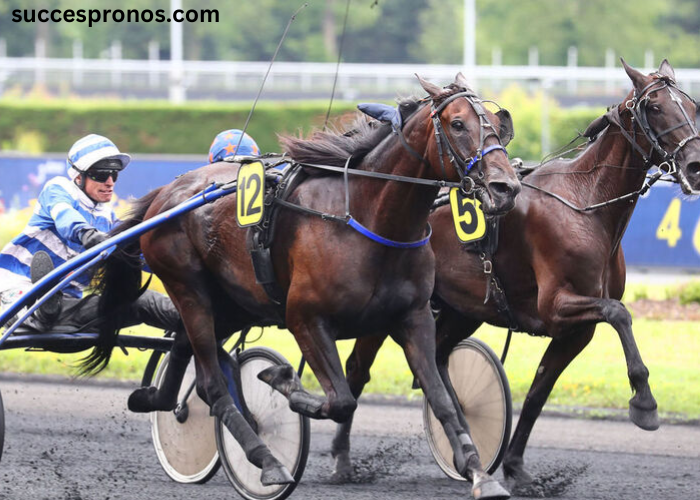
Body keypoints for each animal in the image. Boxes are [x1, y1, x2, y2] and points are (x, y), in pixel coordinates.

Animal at [89, 75, 520, 500]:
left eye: (499, 126)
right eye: (458, 124)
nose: (506, 187)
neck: (367, 218)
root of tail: (165, 194)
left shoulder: (413, 318)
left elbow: (442, 398)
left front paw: (480, 473)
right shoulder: (305, 317)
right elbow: (341, 400)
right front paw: (282, 380)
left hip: (233, 302)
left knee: (184, 347)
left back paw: (153, 398)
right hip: (188, 287)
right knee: (212, 385)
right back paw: (267, 461)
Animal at [332, 57, 700, 488]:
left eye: (692, 108)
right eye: (655, 107)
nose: (695, 166)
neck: (585, 204)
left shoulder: (577, 330)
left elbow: (539, 391)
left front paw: (516, 466)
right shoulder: (556, 305)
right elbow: (619, 313)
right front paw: (644, 403)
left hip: (462, 308)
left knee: (436, 358)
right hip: (389, 305)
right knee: (358, 369)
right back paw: (341, 458)